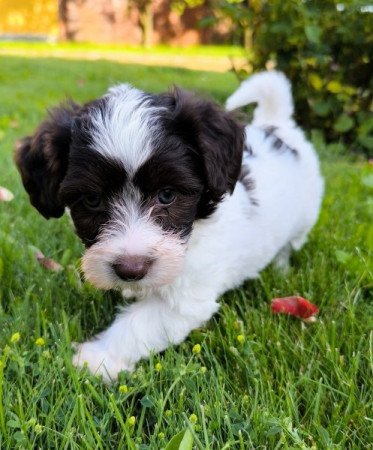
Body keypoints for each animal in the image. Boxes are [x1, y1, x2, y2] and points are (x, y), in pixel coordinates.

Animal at [14, 70, 322, 380]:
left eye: (167, 195)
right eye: (91, 199)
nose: (131, 269)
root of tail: (278, 125)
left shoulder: (187, 296)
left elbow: (138, 324)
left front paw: (97, 359)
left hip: (305, 218)